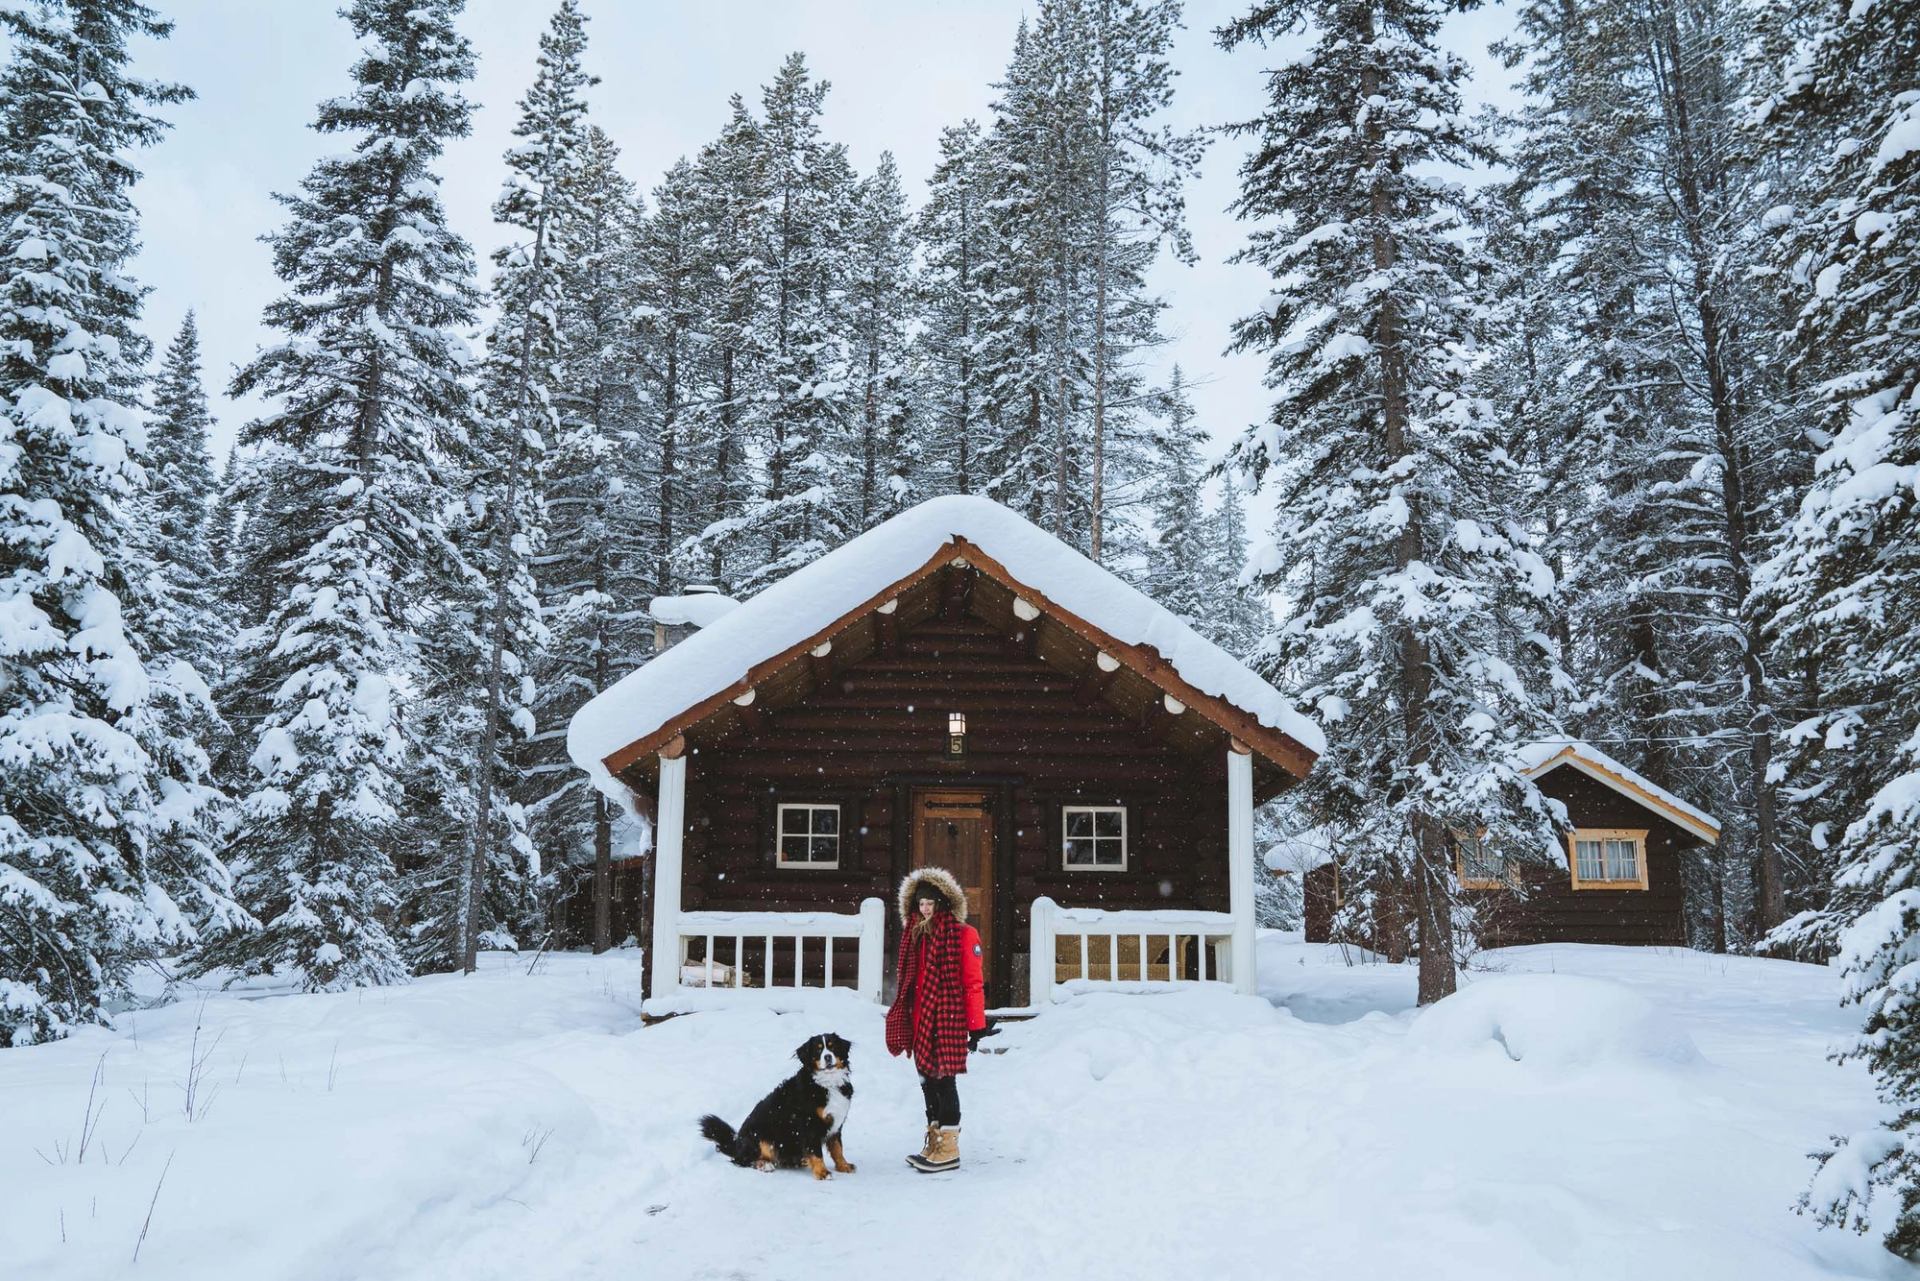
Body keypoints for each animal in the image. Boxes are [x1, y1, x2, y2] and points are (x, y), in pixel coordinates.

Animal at [698, 1029, 856, 1183]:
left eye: (832, 1047)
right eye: (818, 1050)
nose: (828, 1057)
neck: (828, 1083)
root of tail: (737, 1143)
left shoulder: (836, 1124)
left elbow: (837, 1149)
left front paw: (844, 1166)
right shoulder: (809, 1125)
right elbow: (816, 1152)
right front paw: (822, 1172)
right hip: (761, 1138)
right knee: (742, 1160)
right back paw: (764, 1164)